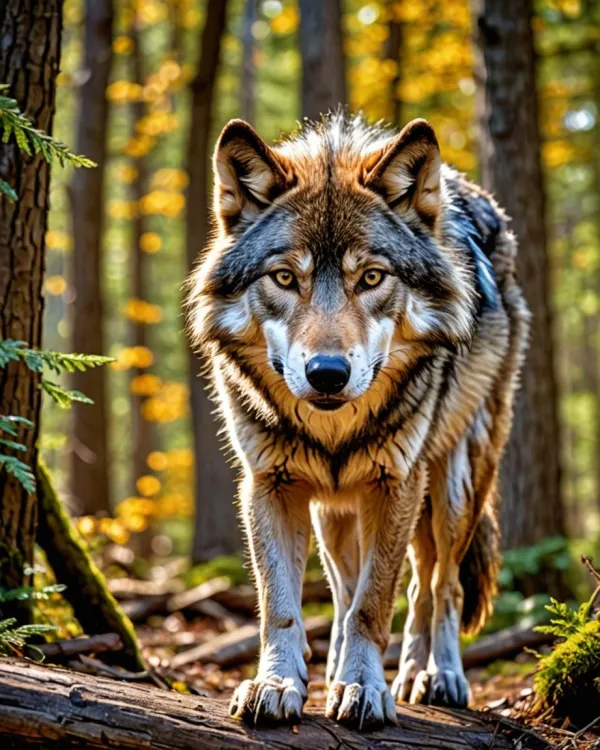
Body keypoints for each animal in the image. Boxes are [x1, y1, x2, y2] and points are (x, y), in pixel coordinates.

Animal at [187, 113, 529, 730]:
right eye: (284, 278)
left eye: (371, 278)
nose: (327, 374)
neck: (335, 432)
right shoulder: (269, 486)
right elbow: (282, 605)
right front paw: (278, 684)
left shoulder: (395, 485)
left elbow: (375, 605)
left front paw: (366, 689)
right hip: (335, 515)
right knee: (346, 591)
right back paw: (337, 672)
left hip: (453, 488)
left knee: (435, 588)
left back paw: (434, 676)